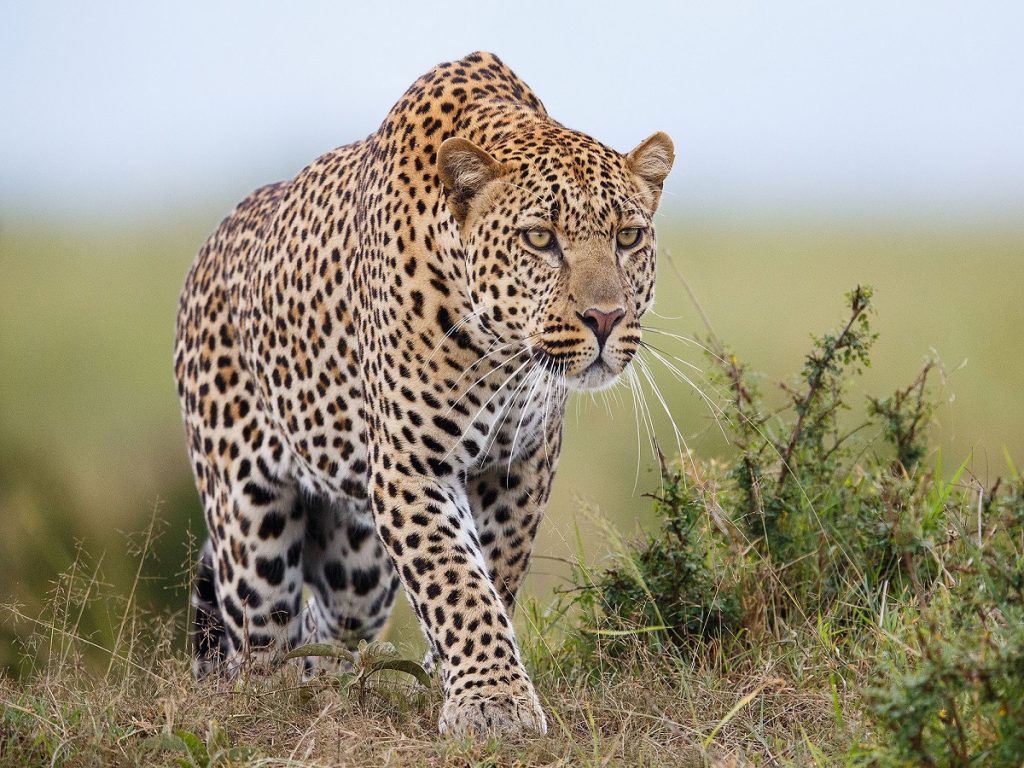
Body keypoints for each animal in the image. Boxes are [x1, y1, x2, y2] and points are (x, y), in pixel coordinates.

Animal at [174, 51, 671, 737]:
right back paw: (274, 705)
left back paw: (333, 690)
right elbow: (456, 578)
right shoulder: (412, 468)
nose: (605, 318)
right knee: (261, 641)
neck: (502, 352)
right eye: (540, 239)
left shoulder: (520, 466)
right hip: (250, 525)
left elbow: (492, 574)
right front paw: (492, 702)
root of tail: (209, 246)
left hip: (356, 565)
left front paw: (455, 680)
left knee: (328, 627)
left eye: (627, 237)